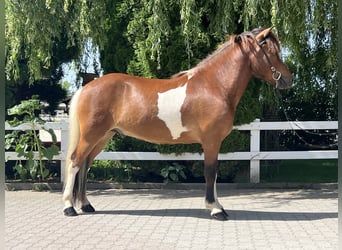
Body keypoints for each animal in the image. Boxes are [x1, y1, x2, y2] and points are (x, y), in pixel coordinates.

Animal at [62, 26, 292, 220]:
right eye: (271, 51)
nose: (288, 79)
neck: (214, 85)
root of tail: (87, 87)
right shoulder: (211, 141)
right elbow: (211, 172)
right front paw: (216, 209)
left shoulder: (213, 142)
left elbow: (214, 173)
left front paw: (218, 206)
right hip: (91, 136)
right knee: (75, 162)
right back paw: (69, 207)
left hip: (103, 137)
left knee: (85, 165)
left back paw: (86, 205)